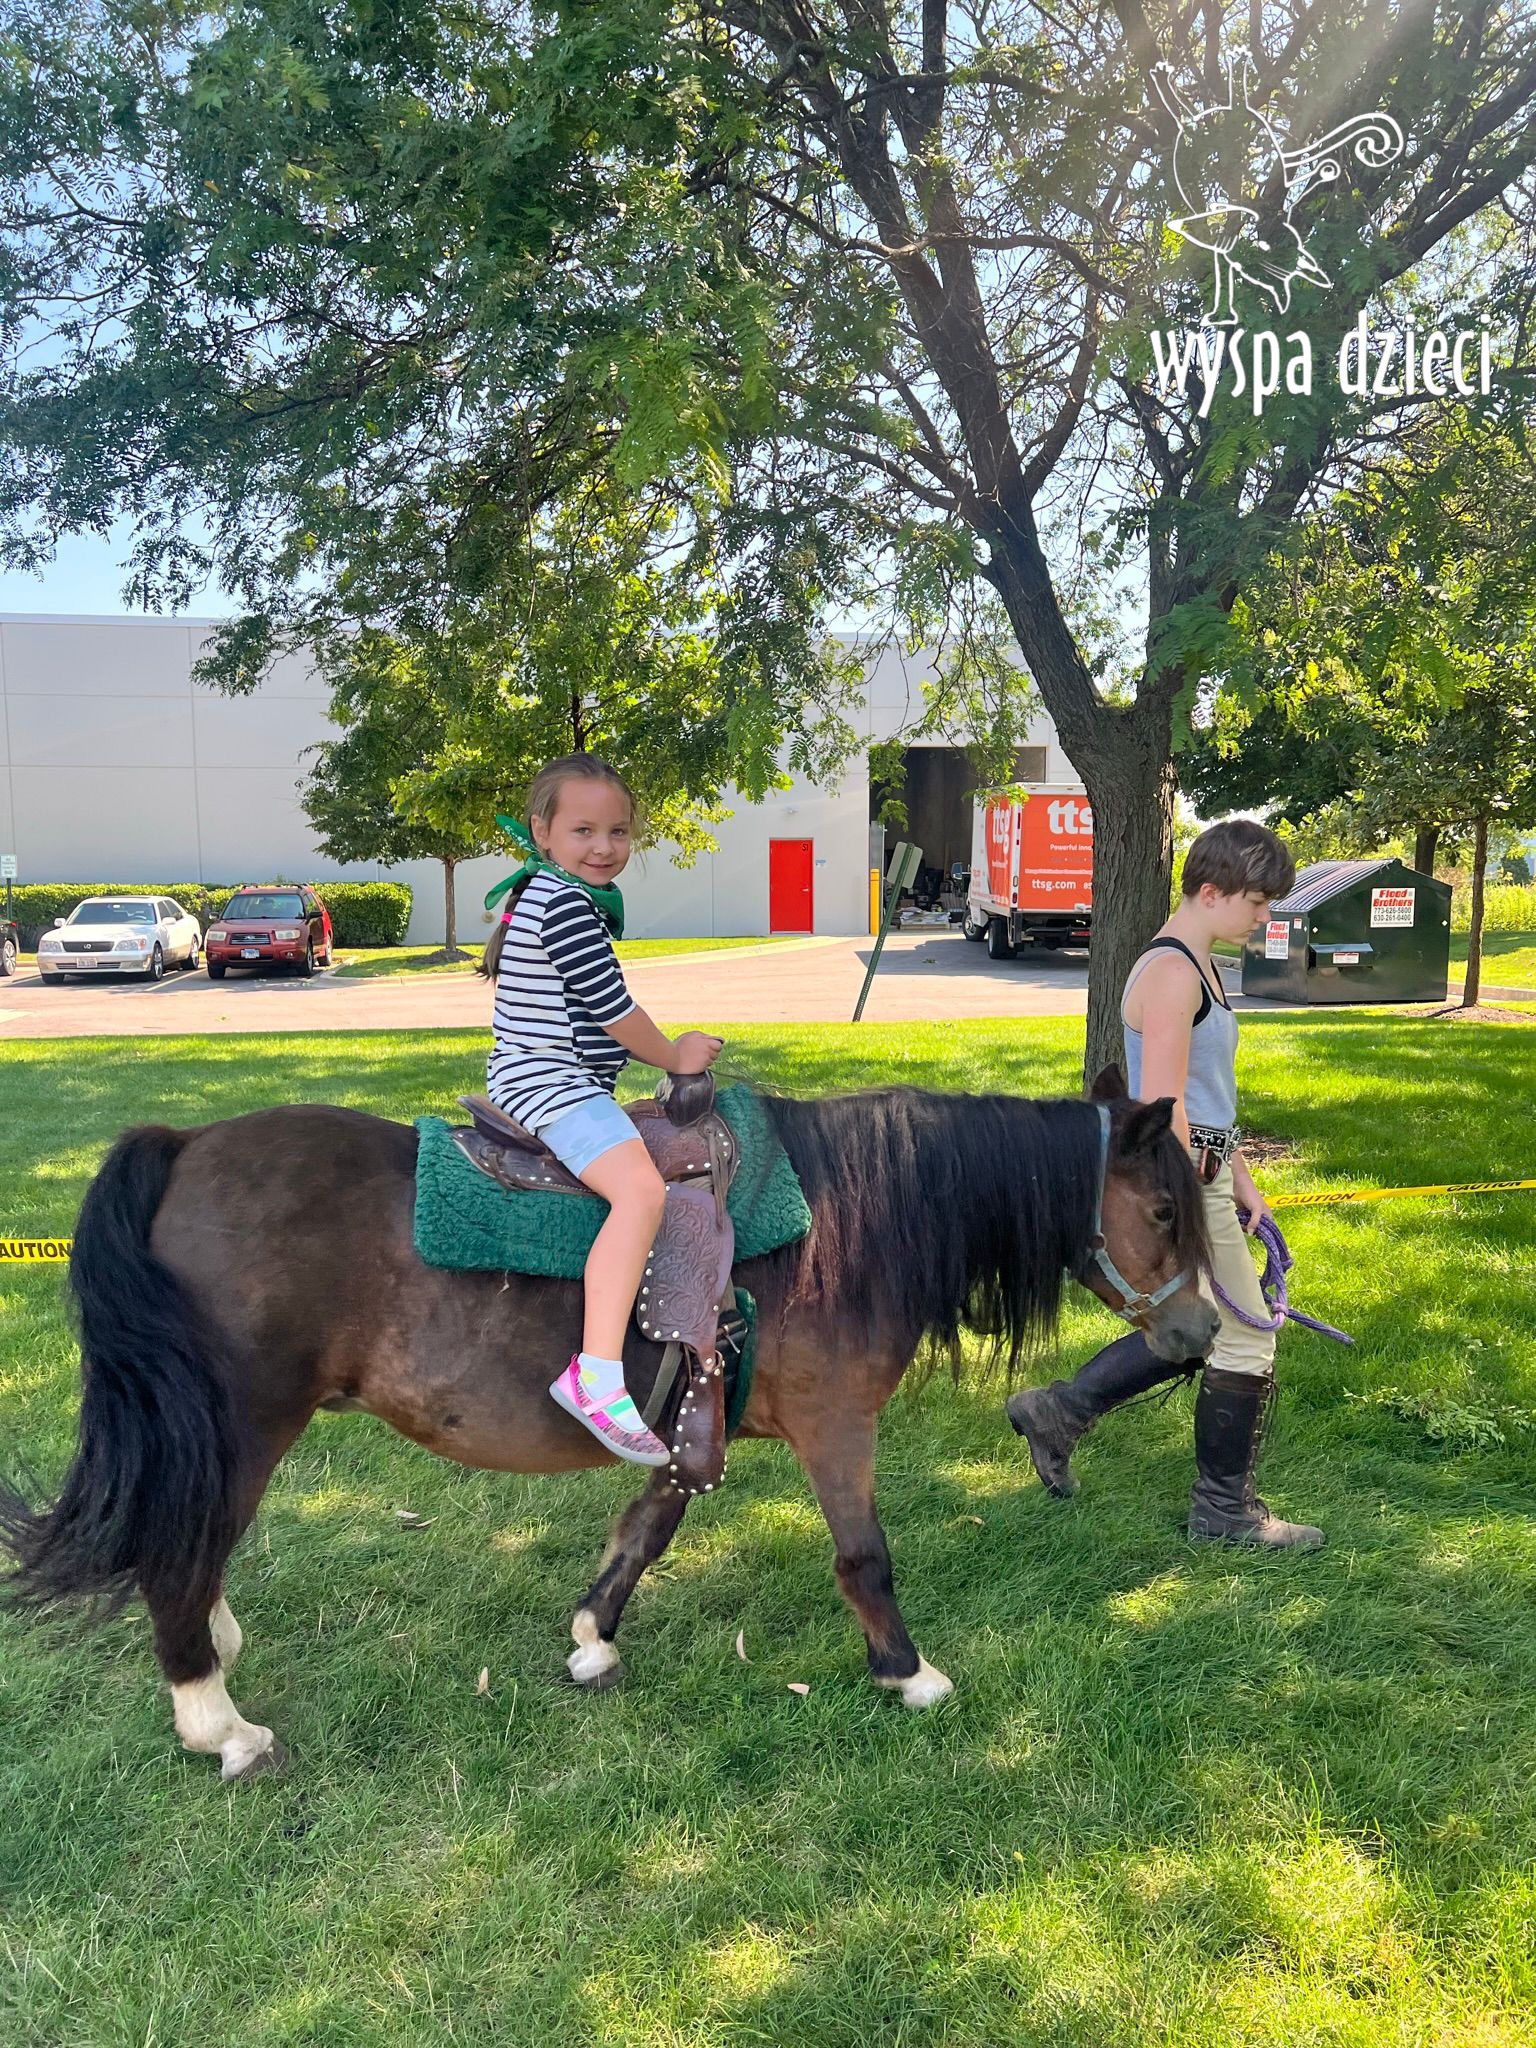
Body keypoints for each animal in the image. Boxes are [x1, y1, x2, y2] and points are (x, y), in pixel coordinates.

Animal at [1, 1067, 1217, 1779]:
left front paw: (594, 1636)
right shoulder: (836, 1427)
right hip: (245, 1423)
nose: (1203, 1330)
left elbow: (646, 1525)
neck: (842, 1215)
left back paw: (219, 1648)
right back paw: (218, 1722)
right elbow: (863, 1556)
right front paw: (907, 1672)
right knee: (178, 1552)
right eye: (1164, 1208)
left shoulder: (690, 1417)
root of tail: (184, 1145)